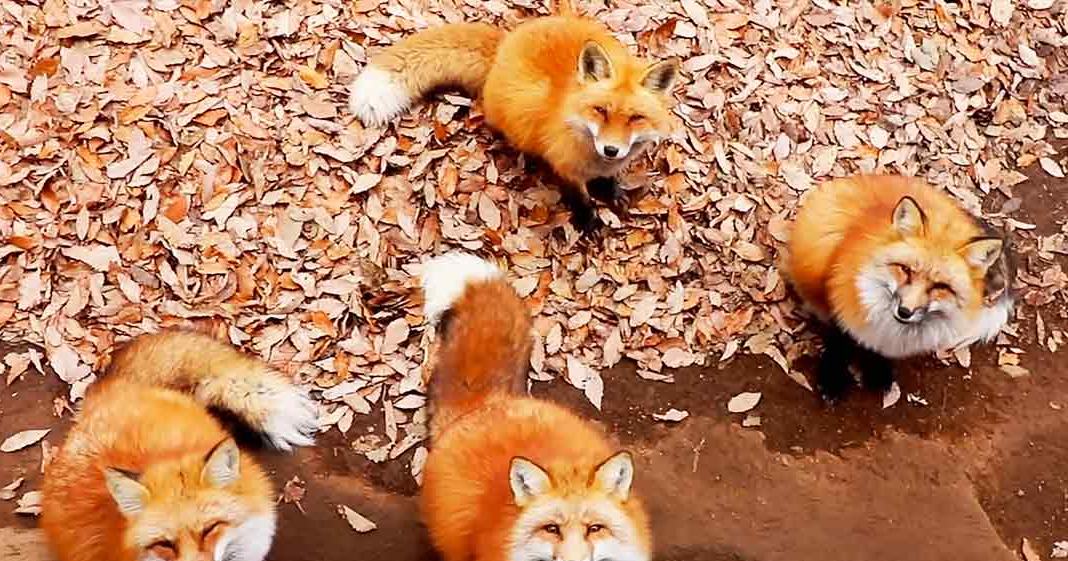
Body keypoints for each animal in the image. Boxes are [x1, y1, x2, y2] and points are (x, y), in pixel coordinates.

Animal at [348, 0, 680, 232]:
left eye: (636, 118)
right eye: (601, 110)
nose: (611, 149)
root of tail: (506, 42)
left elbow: (607, 180)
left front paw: (611, 191)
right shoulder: (564, 167)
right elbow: (579, 196)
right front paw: (588, 219)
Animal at [785, 175, 1014, 401]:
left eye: (941, 286)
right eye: (905, 269)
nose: (905, 312)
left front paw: (876, 370)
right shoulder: (840, 301)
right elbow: (838, 343)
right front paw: (832, 379)